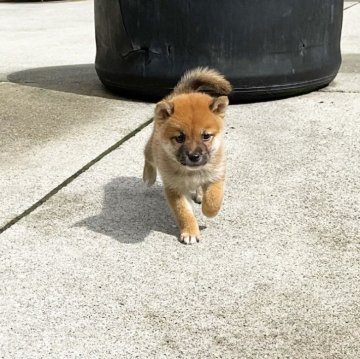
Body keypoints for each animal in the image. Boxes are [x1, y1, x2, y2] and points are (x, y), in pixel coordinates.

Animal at [143, 68, 231, 245]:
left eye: (206, 136)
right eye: (180, 138)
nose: (194, 156)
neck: (192, 172)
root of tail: (182, 92)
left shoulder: (216, 176)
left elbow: (214, 200)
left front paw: (207, 209)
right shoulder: (174, 188)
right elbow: (183, 212)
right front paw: (190, 232)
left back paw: (199, 194)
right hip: (152, 149)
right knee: (147, 156)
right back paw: (148, 177)